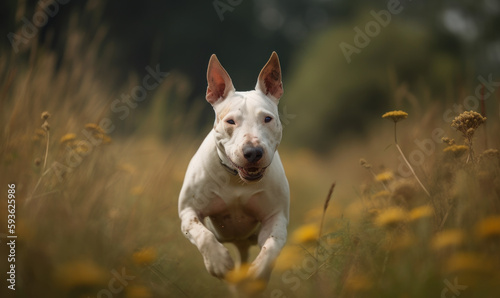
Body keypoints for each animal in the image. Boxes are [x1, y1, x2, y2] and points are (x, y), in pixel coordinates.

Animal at [179, 52, 290, 286]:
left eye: (267, 118)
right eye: (230, 121)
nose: (253, 152)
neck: (236, 179)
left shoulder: (275, 217)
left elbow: (272, 244)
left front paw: (258, 272)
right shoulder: (187, 210)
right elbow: (202, 233)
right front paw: (219, 262)